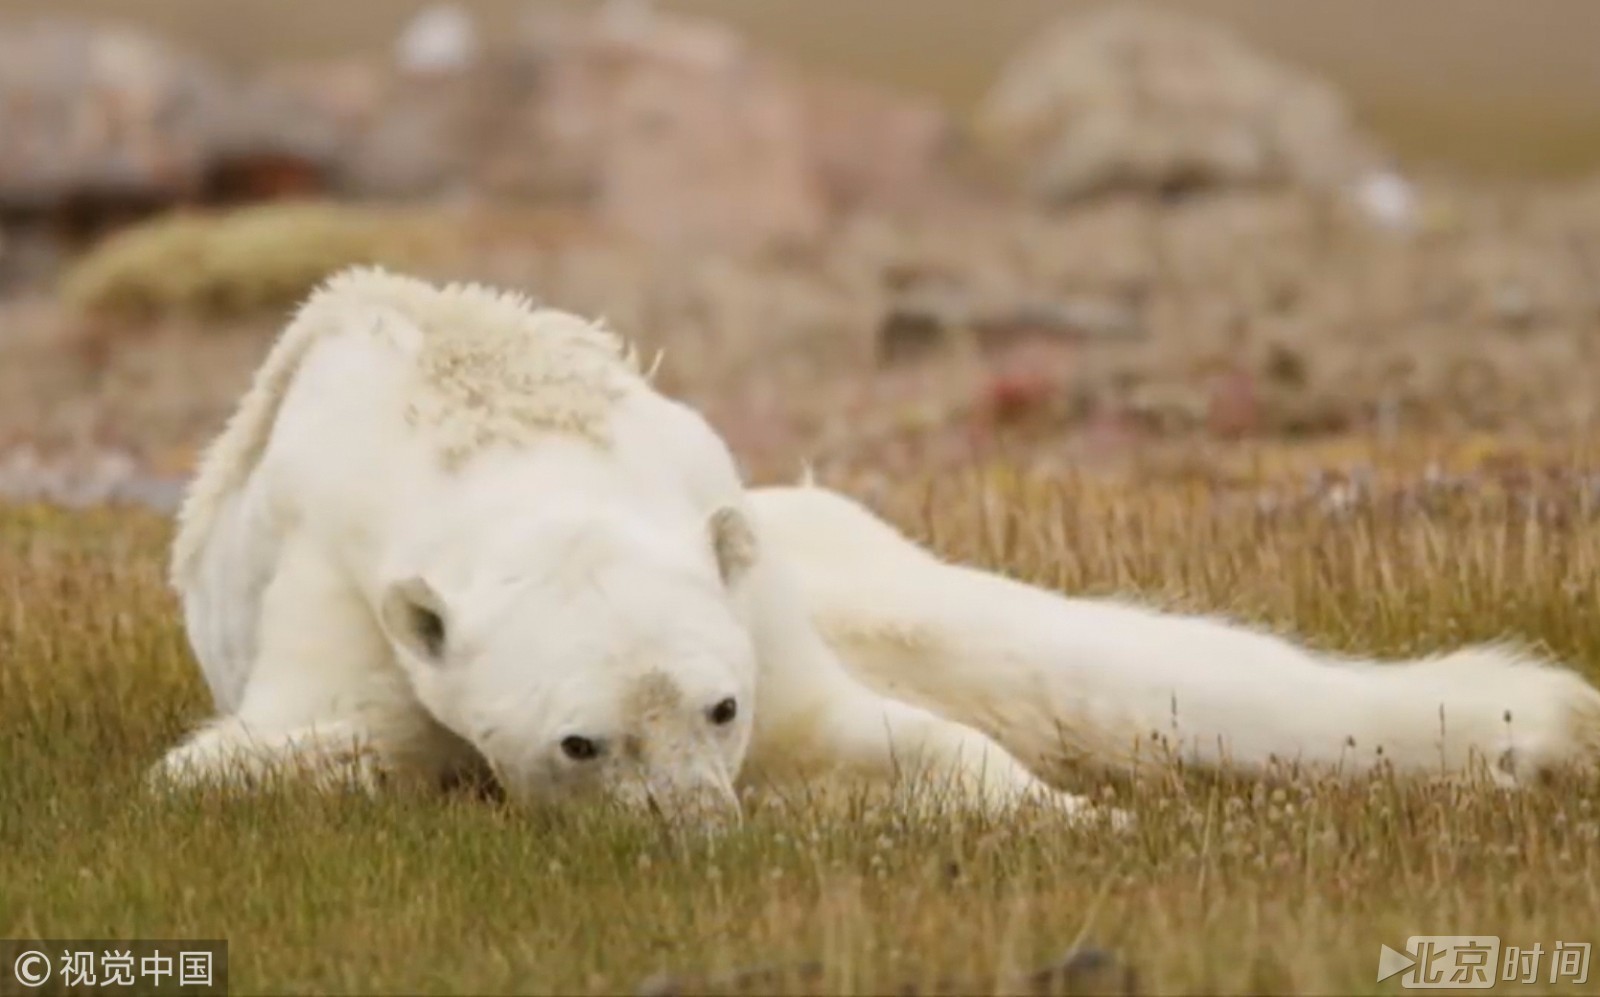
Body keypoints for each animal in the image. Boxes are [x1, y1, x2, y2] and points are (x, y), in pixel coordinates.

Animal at [156, 265, 1081, 819]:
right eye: (580, 742)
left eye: (722, 707)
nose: (700, 828)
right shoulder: (340, 593)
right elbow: (254, 755)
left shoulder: (743, 586)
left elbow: (851, 728)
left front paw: (1073, 813)